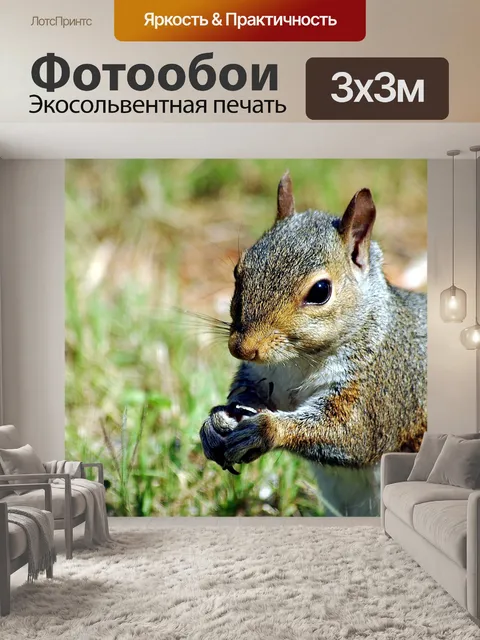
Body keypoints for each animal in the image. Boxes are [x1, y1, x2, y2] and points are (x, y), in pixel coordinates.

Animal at [200, 171, 427, 516]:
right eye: (239, 272)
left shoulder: (379, 389)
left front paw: (265, 430)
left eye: (320, 290)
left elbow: (351, 433)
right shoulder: (262, 377)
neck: (298, 361)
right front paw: (215, 423)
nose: (242, 348)